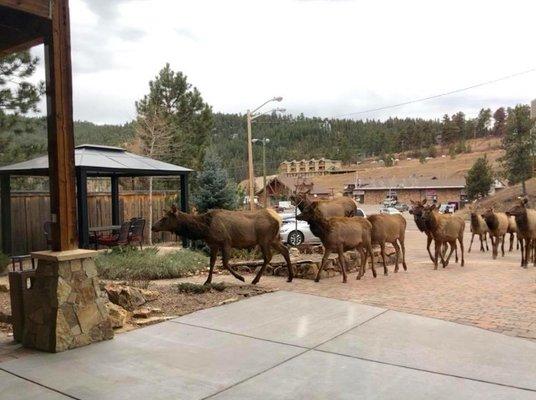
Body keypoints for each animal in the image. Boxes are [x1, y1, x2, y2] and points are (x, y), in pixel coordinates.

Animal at [151, 206, 294, 284]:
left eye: (165, 218)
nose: (153, 227)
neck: (204, 229)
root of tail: (278, 218)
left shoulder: (226, 241)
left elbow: (224, 263)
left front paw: (240, 277)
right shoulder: (213, 245)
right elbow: (212, 262)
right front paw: (207, 281)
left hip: (264, 239)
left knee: (268, 257)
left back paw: (255, 280)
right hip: (274, 239)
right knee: (285, 250)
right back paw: (290, 277)